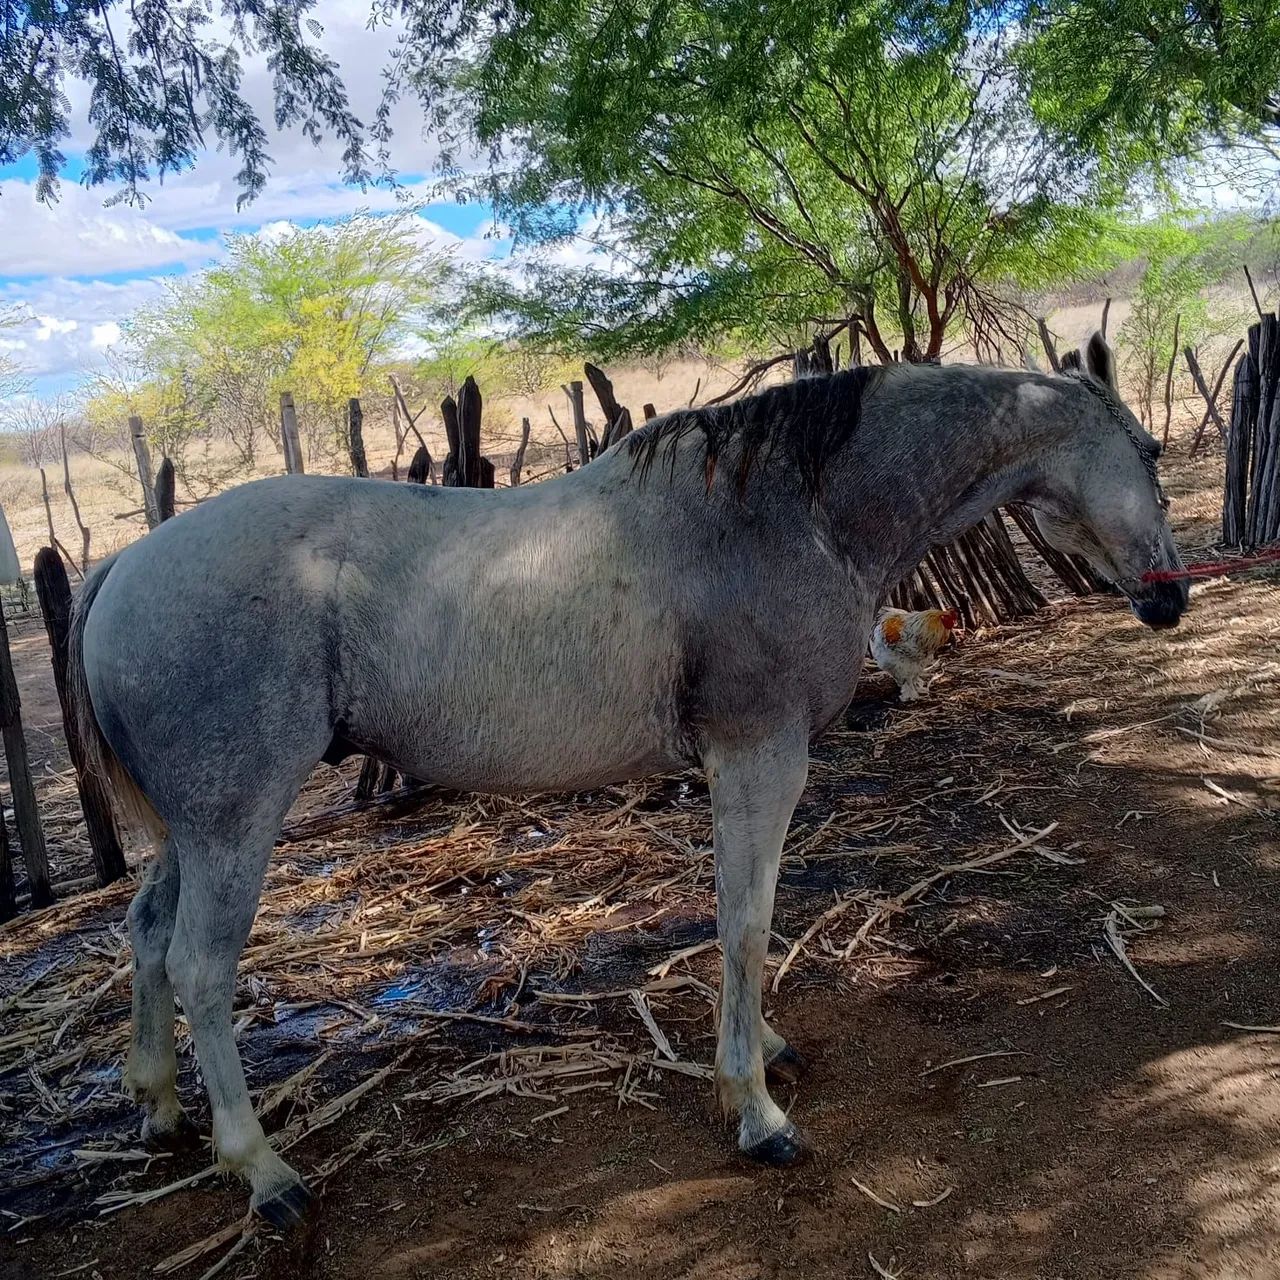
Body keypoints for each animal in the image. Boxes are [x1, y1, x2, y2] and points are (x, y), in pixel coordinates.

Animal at [68, 332, 1187, 1226]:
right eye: (1148, 451)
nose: (1168, 597)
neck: (786, 511)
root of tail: (125, 567)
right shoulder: (759, 760)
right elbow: (745, 923)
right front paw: (755, 1108)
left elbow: (744, 919)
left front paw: (763, 1047)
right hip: (235, 825)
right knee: (200, 968)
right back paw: (261, 1170)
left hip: (196, 832)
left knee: (146, 936)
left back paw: (159, 1103)